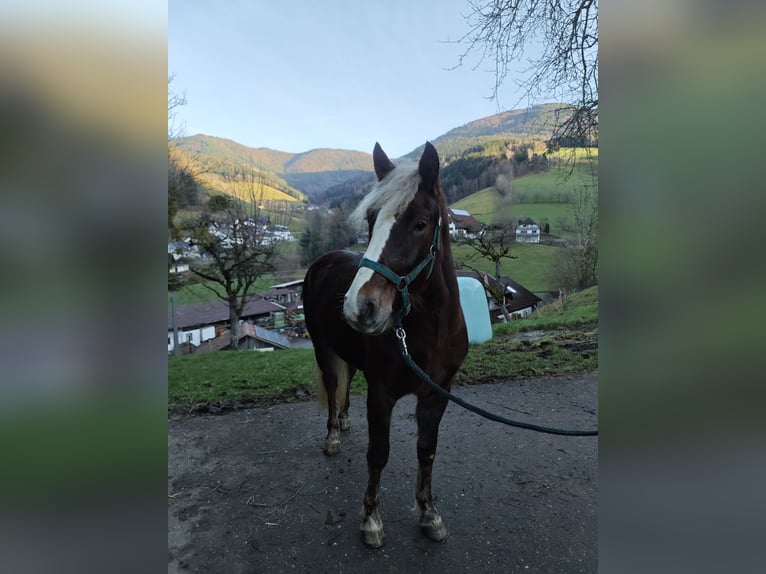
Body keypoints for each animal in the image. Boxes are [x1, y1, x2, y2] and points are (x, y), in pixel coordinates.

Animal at [302, 141, 468, 548]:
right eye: (370, 220)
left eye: (420, 224)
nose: (360, 306)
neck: (429, 333)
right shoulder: (381, 393)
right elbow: (378, 454)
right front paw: (371, 521)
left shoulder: (437, 394)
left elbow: (427, 451)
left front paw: (429, 513)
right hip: (323, 348)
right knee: (333, 384)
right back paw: (333, 435)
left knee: (346, 382)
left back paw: (345, 421)